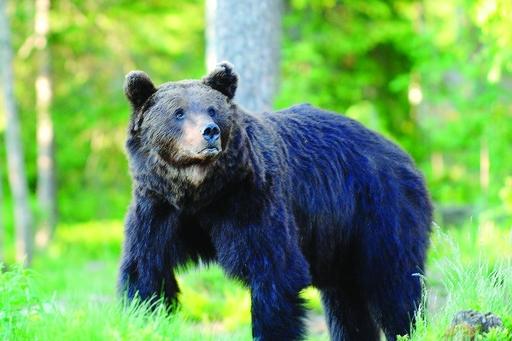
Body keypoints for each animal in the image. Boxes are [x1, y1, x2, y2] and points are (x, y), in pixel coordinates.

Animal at [119, 61, 432, 340]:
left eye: (212, 109)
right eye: (178, 112)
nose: (209, 131)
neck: (200, 192)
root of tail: (401, 154)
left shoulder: (252, 200)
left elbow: (274, 272)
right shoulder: (159, 209)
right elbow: (145, 271)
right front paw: (144, 320)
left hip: (381, 210)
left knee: (394, 285)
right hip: (339, 241)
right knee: (346, 301)